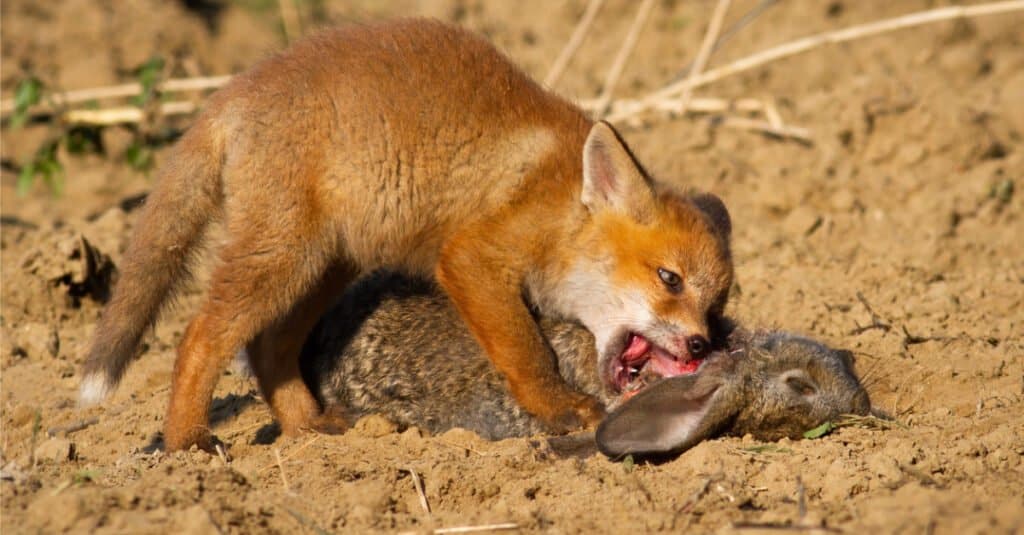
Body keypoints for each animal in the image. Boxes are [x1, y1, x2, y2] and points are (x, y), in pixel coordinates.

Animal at [81, 17, 737, 448]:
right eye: (669, 278)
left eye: (716, 303)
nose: (701, 346)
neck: (559, 211)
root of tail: (238, 87)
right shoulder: (471, 260)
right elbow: (527, 351)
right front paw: (559, 408)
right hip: (283, 258)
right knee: (198, 338)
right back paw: (187, 443)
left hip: (324, 267)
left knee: (268, 349)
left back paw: (306, 427)